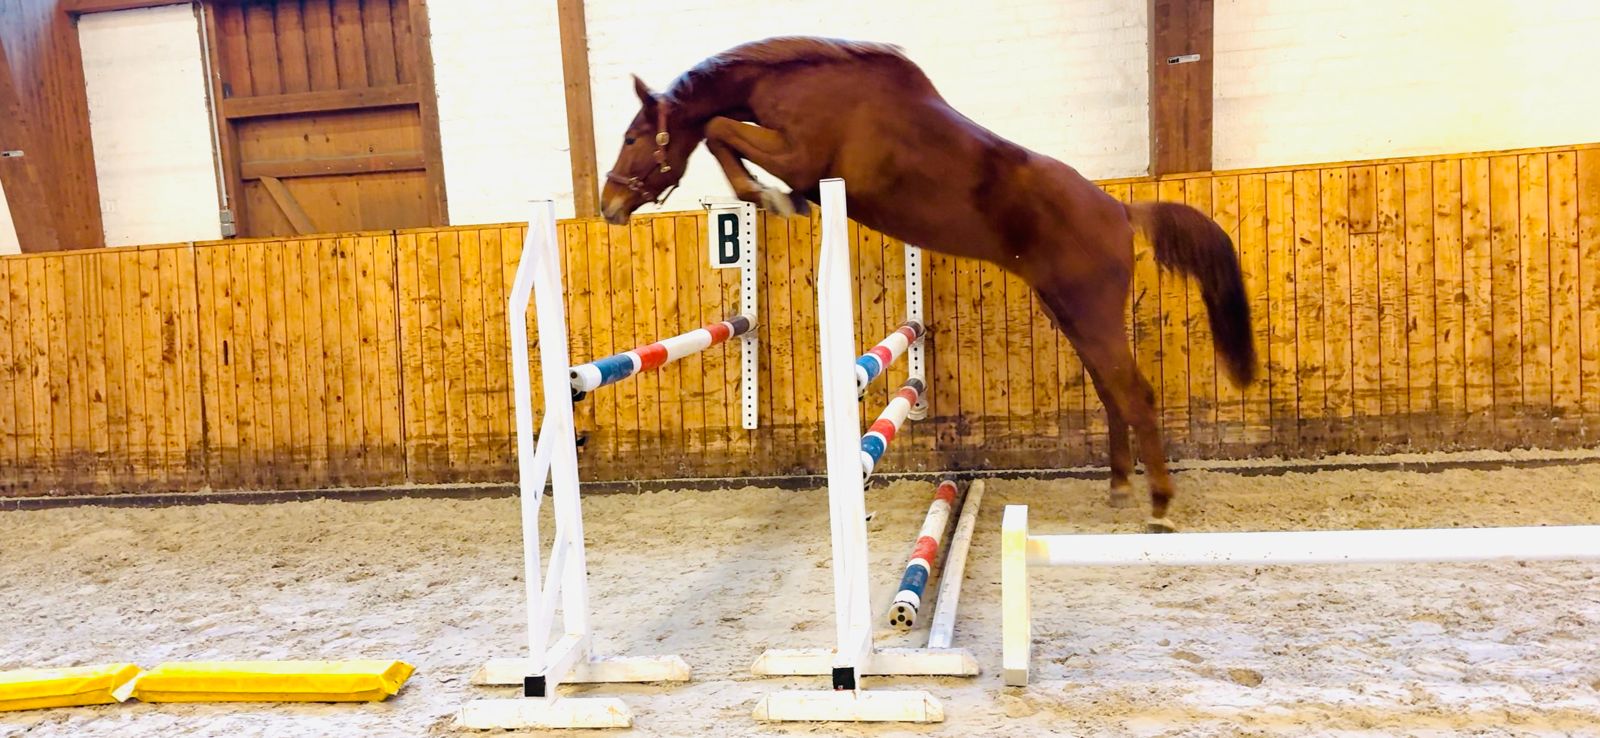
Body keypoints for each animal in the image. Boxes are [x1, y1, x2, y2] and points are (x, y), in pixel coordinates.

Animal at [598, 36, 1257, 533]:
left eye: (632, 137)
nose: (608, 204)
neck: (808, 86)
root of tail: (1120, 211)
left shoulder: (799, 158)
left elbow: (717, 126)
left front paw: (767, 197)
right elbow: (718, 129)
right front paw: (768, 197)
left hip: (1090, 316)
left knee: (1136, 396)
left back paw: (1160, 507)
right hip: (1073, 316)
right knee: (1112, 393)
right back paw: (1119, 487)